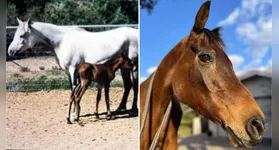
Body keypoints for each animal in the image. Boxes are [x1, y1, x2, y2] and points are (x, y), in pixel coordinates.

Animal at [8, 17, 139, 119]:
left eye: (21, 35)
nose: (10, 51)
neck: (62, 41)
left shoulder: (73, 70)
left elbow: (74, 90)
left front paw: (73, 115)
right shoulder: (68, 72)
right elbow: (73, 92)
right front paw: (74, 113)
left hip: (134, 66)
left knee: (135, 85)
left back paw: (133, 109)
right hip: (124, 68)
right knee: (128, 85)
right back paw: (120, 108)